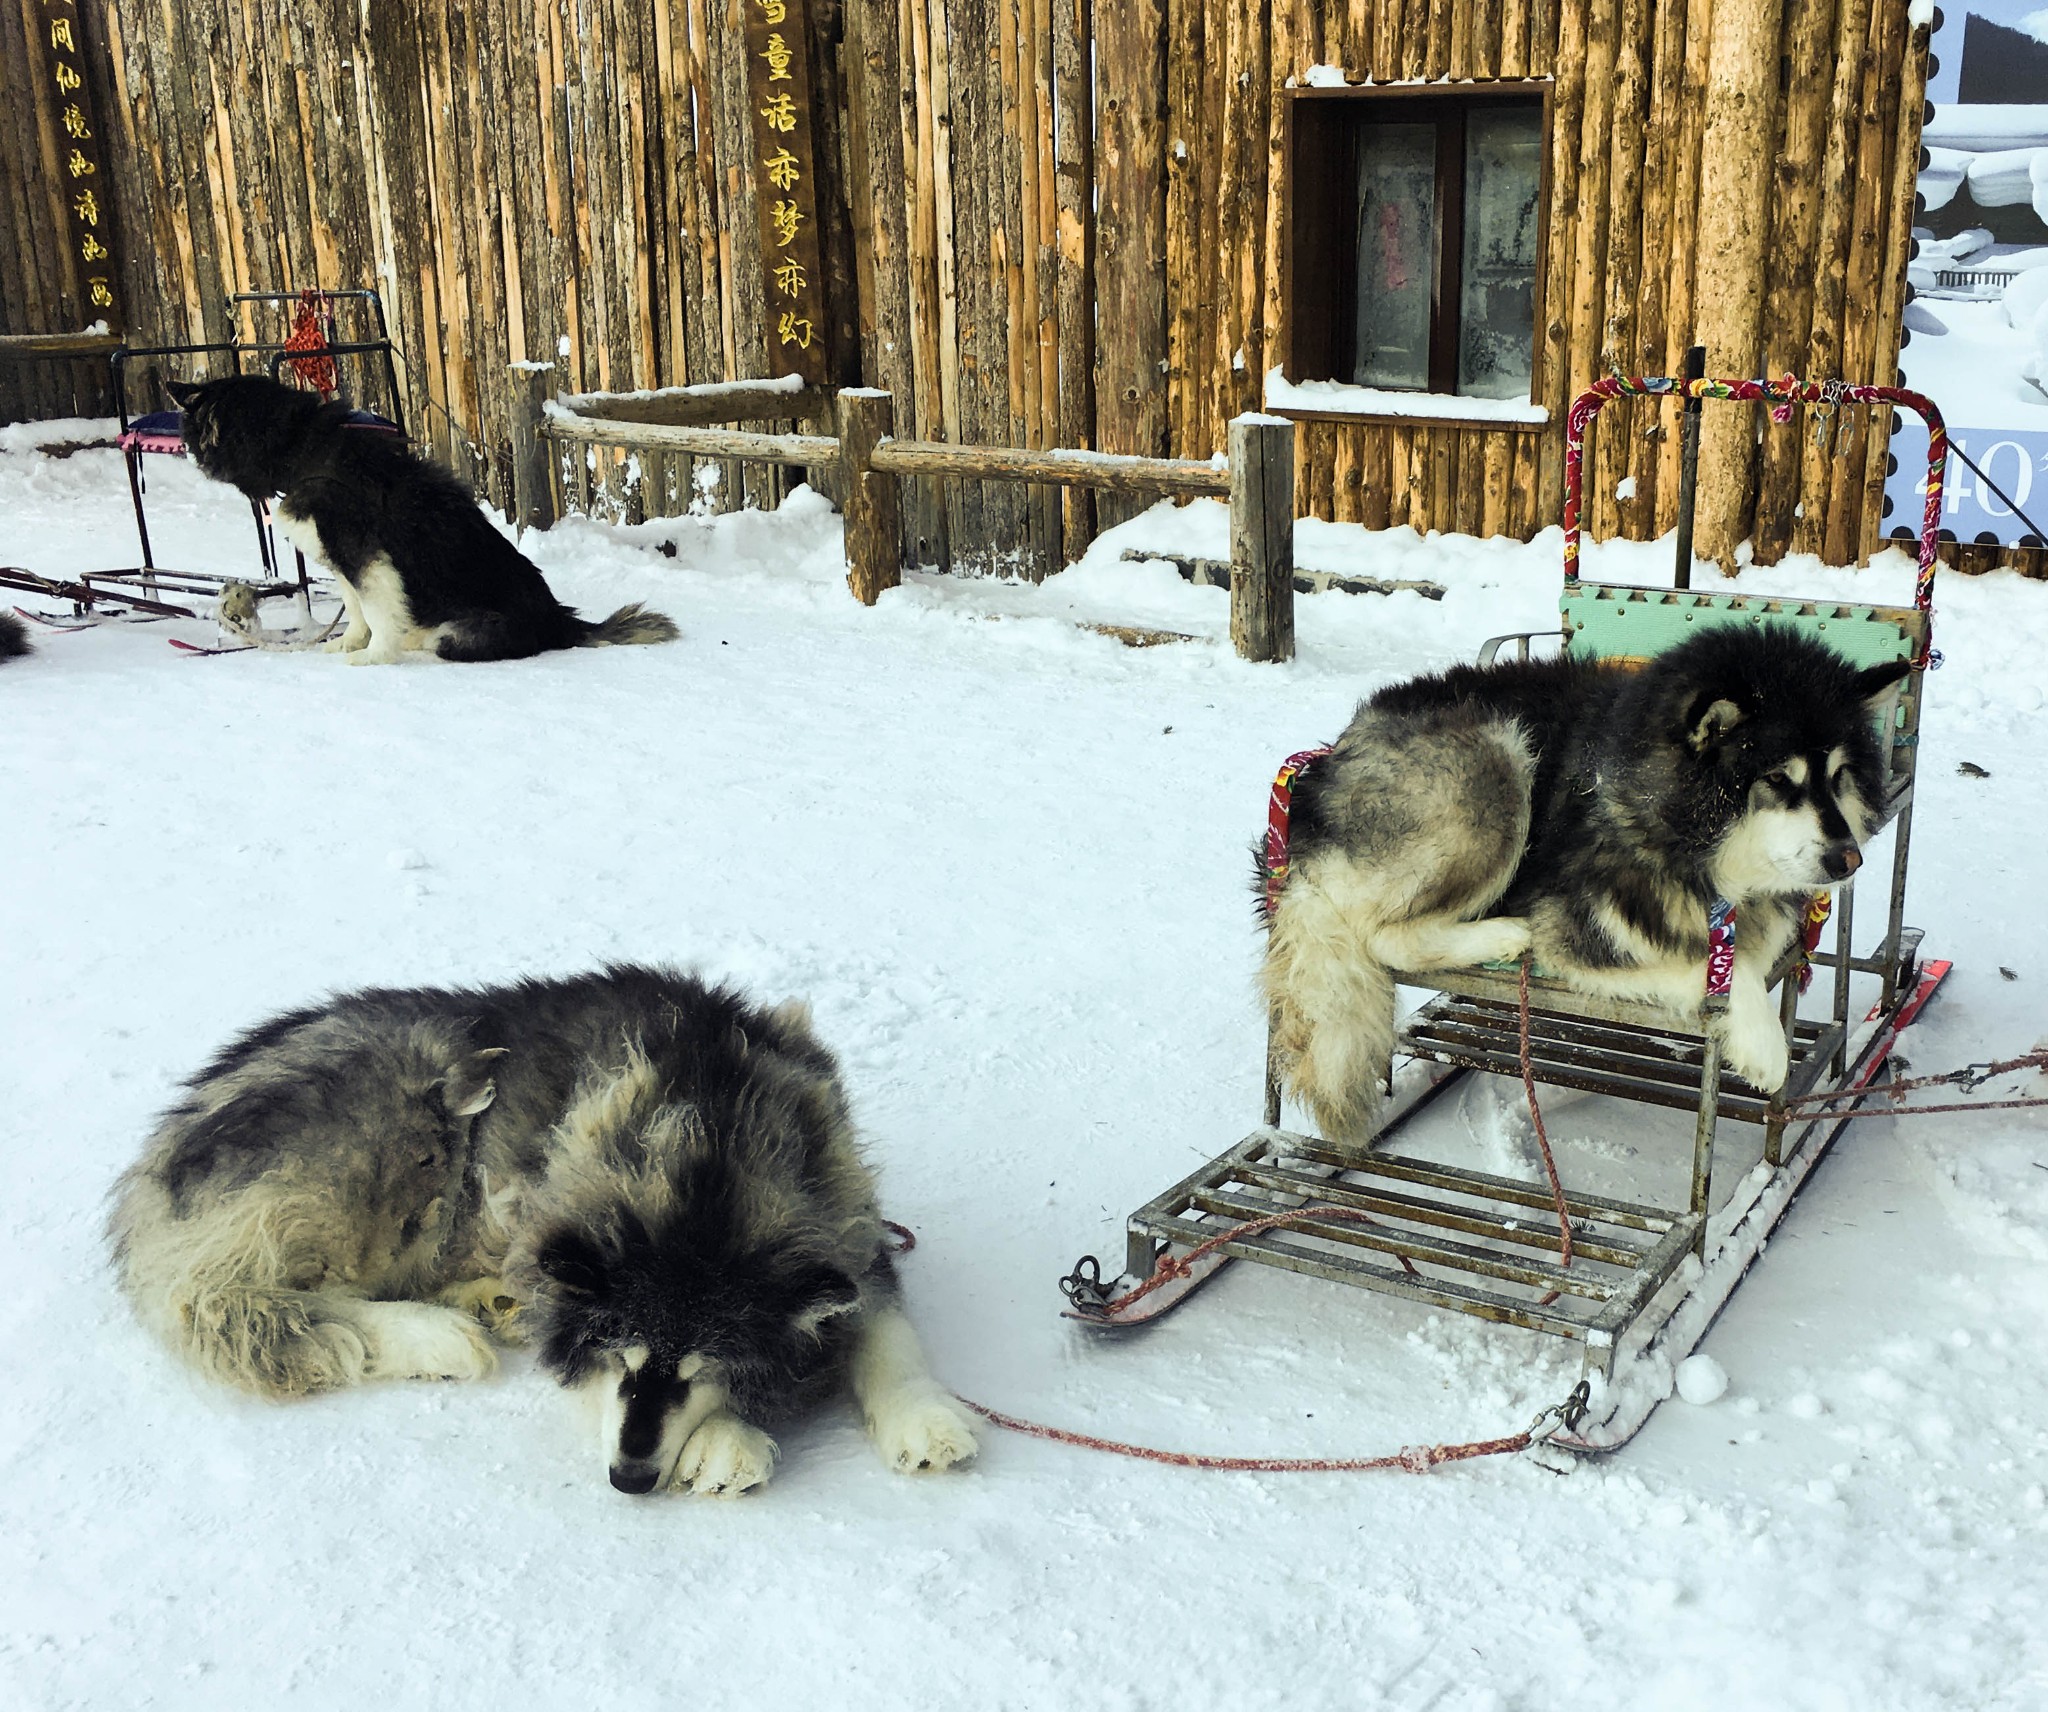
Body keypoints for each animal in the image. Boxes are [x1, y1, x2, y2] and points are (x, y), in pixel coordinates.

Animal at [110, 962, 974, 1499]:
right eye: (615, 1354)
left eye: (706, 1367)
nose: (629, 1480)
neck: (706, 1134)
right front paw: (726, 1439)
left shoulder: (849, 1226)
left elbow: (887, 1329)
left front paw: (925, 1419)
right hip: (395, 1143)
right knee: (227, 1297)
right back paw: (436, 1334)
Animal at [165, 374, 679, 663]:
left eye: (192, 434)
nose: (187, 455)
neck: (302, 451)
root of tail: (564, 622)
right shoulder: (343, 563)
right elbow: (355, 611)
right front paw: (350, 644)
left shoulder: (366, 559)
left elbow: (375, 611)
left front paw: (374, 656)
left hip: (463, 633)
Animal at [1253, 622, 1908, 1146]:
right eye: (1777, 778)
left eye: (1839, 776)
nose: (1848, 860)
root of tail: (1328, 765)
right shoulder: (1579, 926)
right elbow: (1708, 964)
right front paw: (1764, 1042)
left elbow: (1746, 944)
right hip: (1492, 767)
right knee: (1382, 936)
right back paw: (1501, 933)